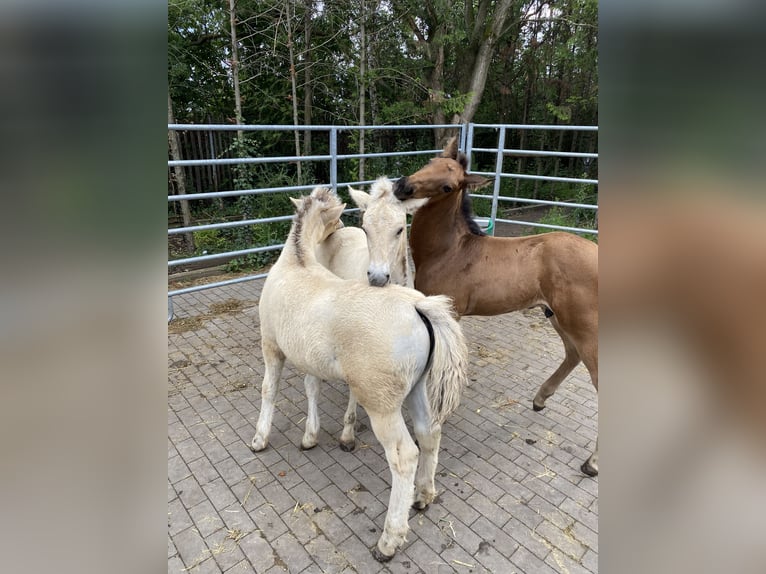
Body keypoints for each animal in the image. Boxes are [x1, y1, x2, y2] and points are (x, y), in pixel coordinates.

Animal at [254, 188, 468, 564]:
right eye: (342, 218)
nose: (338, 233)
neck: (297, 261)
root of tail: (419, 307)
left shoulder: (271, 345)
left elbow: (269, 390)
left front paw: (260, 438)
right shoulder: (309, 357)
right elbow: (312, 388)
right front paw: (310, 437)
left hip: (382, 404)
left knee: (404, 456)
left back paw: (389, 540)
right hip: (416, 390)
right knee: (429, 434)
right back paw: (423, 496)